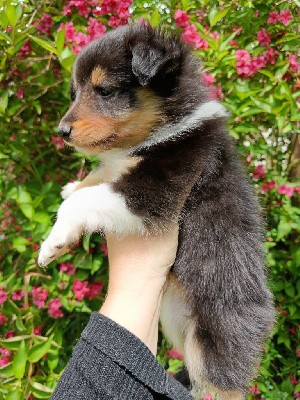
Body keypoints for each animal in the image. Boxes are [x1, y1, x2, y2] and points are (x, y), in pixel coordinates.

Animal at [38, 23, 276, 398]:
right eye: (75, 92)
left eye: (106, 90)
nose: (62, 132)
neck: (162, 129)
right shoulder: (121, 169)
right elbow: (96, 176)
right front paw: (72, 186)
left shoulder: (155, 193)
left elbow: (83, 201)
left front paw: (53, 243)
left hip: (216, 343)